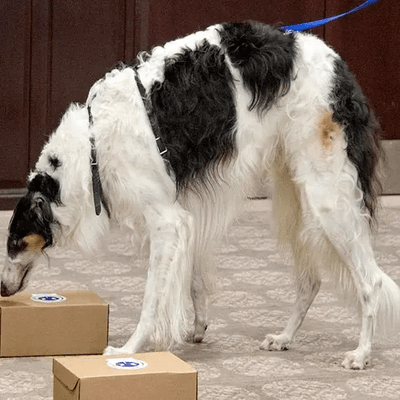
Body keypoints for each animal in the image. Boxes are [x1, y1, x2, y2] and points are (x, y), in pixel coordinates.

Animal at [1, 23, 398, 370]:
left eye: (15, 242)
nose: (3, 290)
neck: (93, 146)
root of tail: (340, 68)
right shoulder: (184, 216)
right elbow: (192, 281)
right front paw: (198, 327)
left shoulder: (166, 220)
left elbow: (153, 299)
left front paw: (129, 349)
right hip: (294, 198)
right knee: (310, 282)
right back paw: (284, 337)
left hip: (328, 198)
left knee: (371, 281)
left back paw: (361, 354)